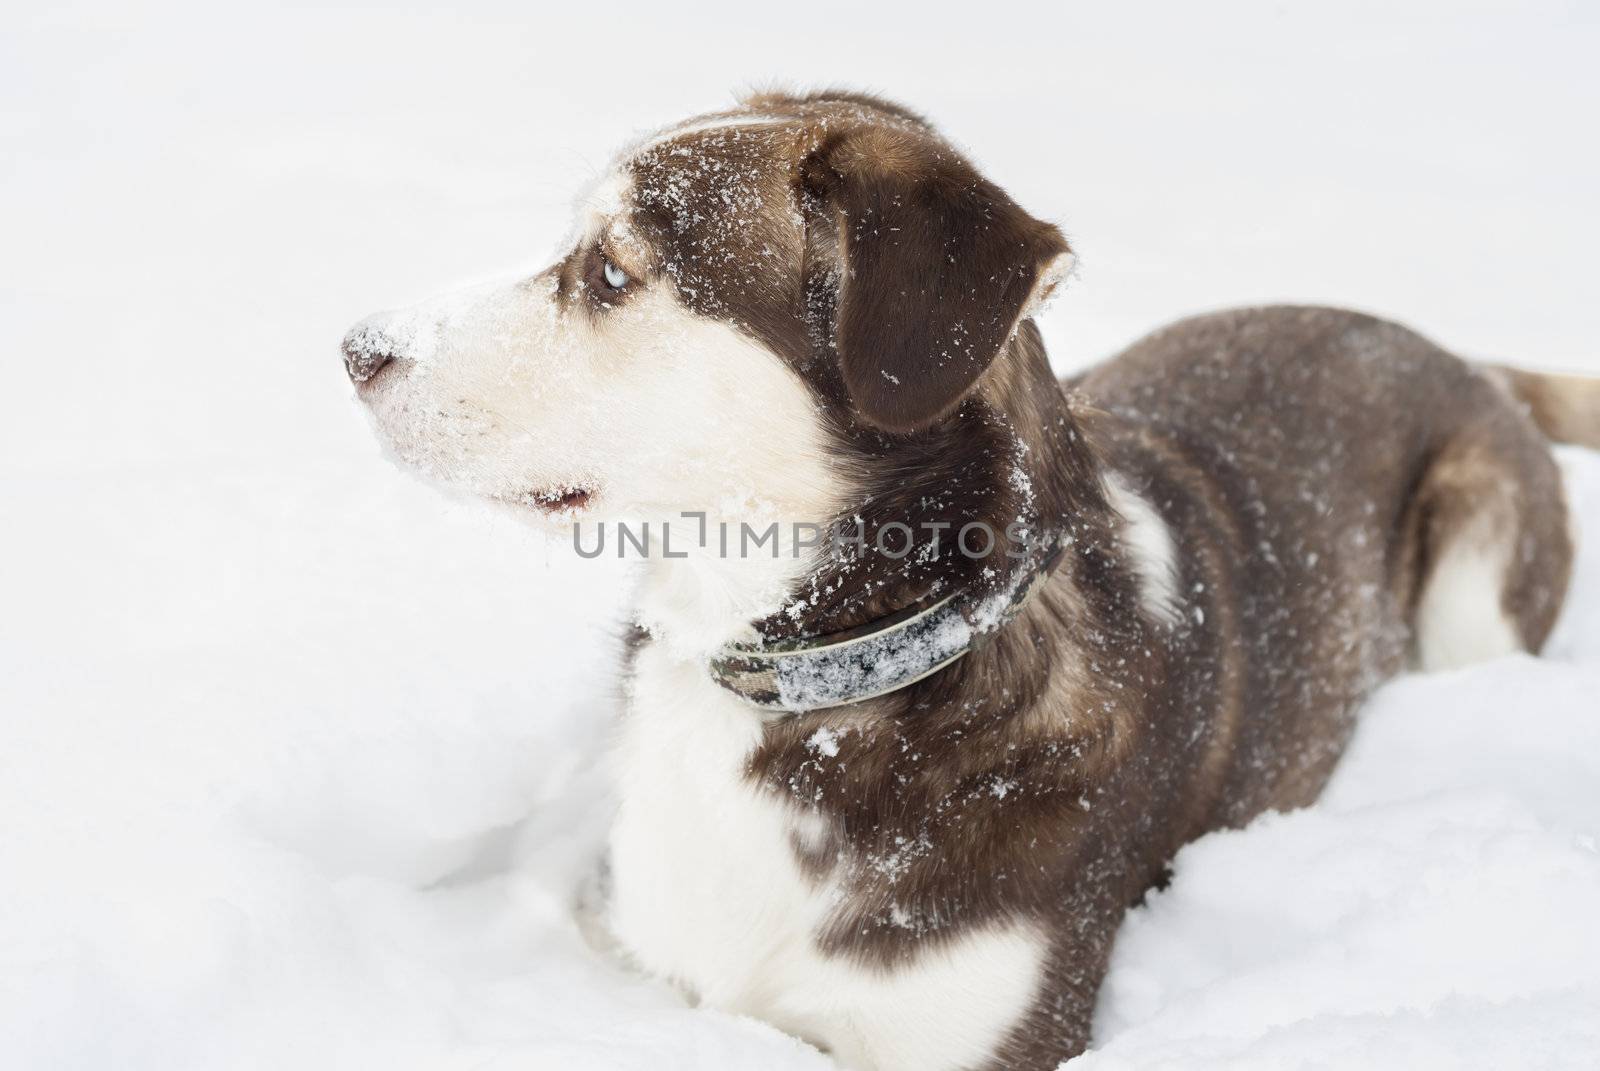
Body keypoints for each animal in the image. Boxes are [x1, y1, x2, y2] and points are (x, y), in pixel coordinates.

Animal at [340, 92, 1600, 1069]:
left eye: (608, 272)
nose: (355, 349)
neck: (822, 687)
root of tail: (1463, 357)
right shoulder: (654, 958)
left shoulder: (969, 1033)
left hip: (1474, 578)